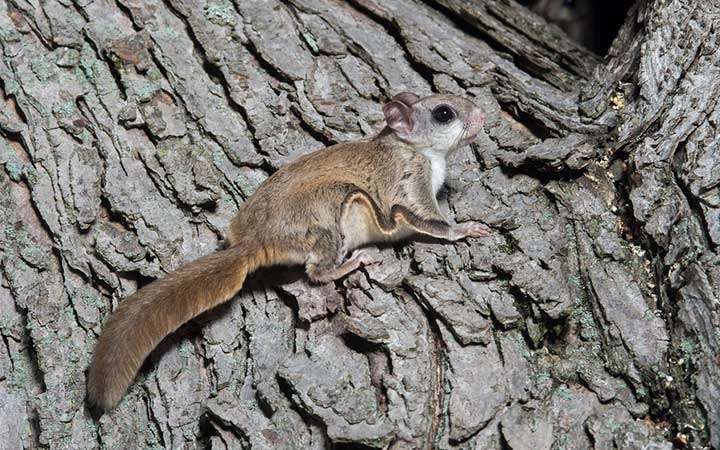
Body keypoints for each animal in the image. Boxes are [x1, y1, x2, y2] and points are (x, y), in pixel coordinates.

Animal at [86, 92, 489, 413]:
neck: (412, 148)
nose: (484, 115)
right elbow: (432, 222)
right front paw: (464, 229)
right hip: (329, 214)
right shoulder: (409, 186)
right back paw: (351, 263)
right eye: (444, 113)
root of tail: (255, 242)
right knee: (316, 271)